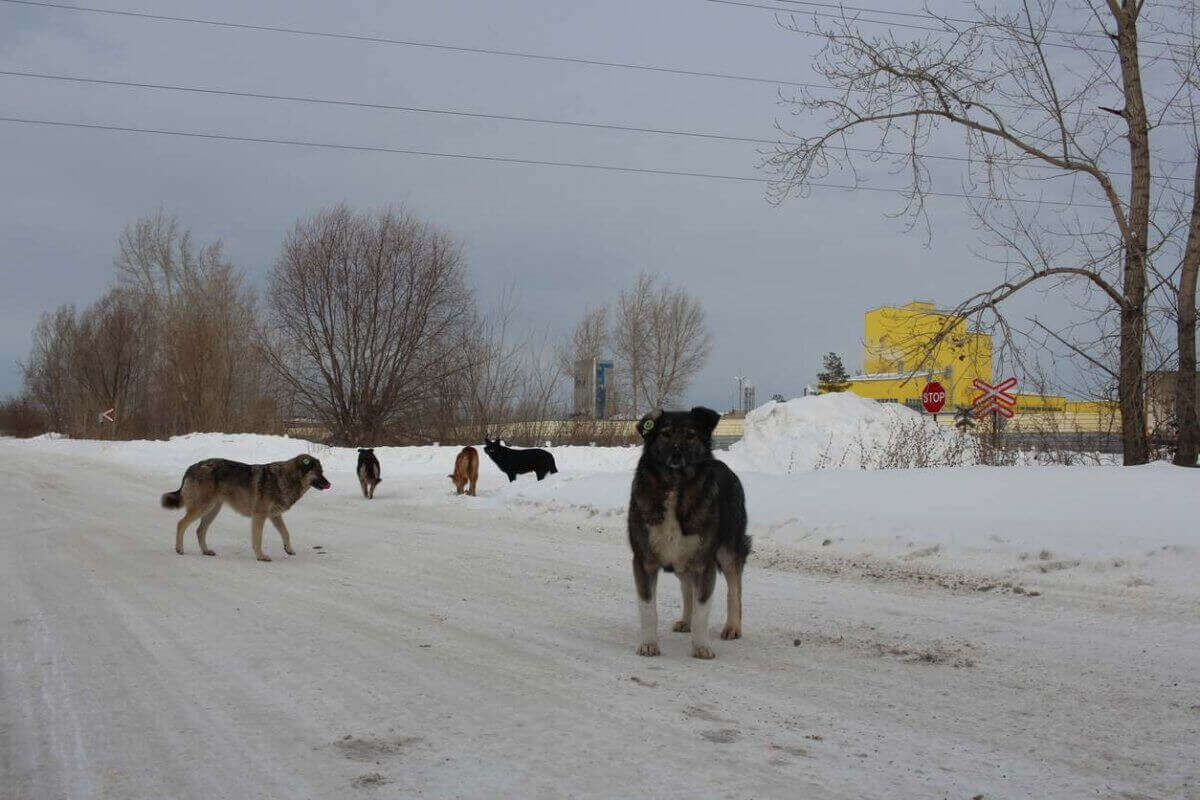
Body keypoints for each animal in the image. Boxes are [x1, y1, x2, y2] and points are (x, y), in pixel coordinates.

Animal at [159, 455, 331, 563]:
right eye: (319, 473)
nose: (330, 484)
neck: (284, 479)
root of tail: (191, 467)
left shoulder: (275, 516)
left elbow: (286, 533)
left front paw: (288, 549)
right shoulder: (259, 516)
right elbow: (258, 539)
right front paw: (261, 556)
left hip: (212, 510)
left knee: (199, 530)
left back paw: (206, 551)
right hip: (203, 508)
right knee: (181, 524)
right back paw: (180, 549)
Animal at [628, 410, 748, 662]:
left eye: (690, 435)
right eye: (665, 434)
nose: (677, 451)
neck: (676, 485)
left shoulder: (704, 563)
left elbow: (702, 609)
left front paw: (701, 646)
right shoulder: (644, 561)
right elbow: (648, 608)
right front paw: (649, 644)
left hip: (728, 550)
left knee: (735, 589)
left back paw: (732, 627)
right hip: (683, 561)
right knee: (687, 588)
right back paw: (686, 620)